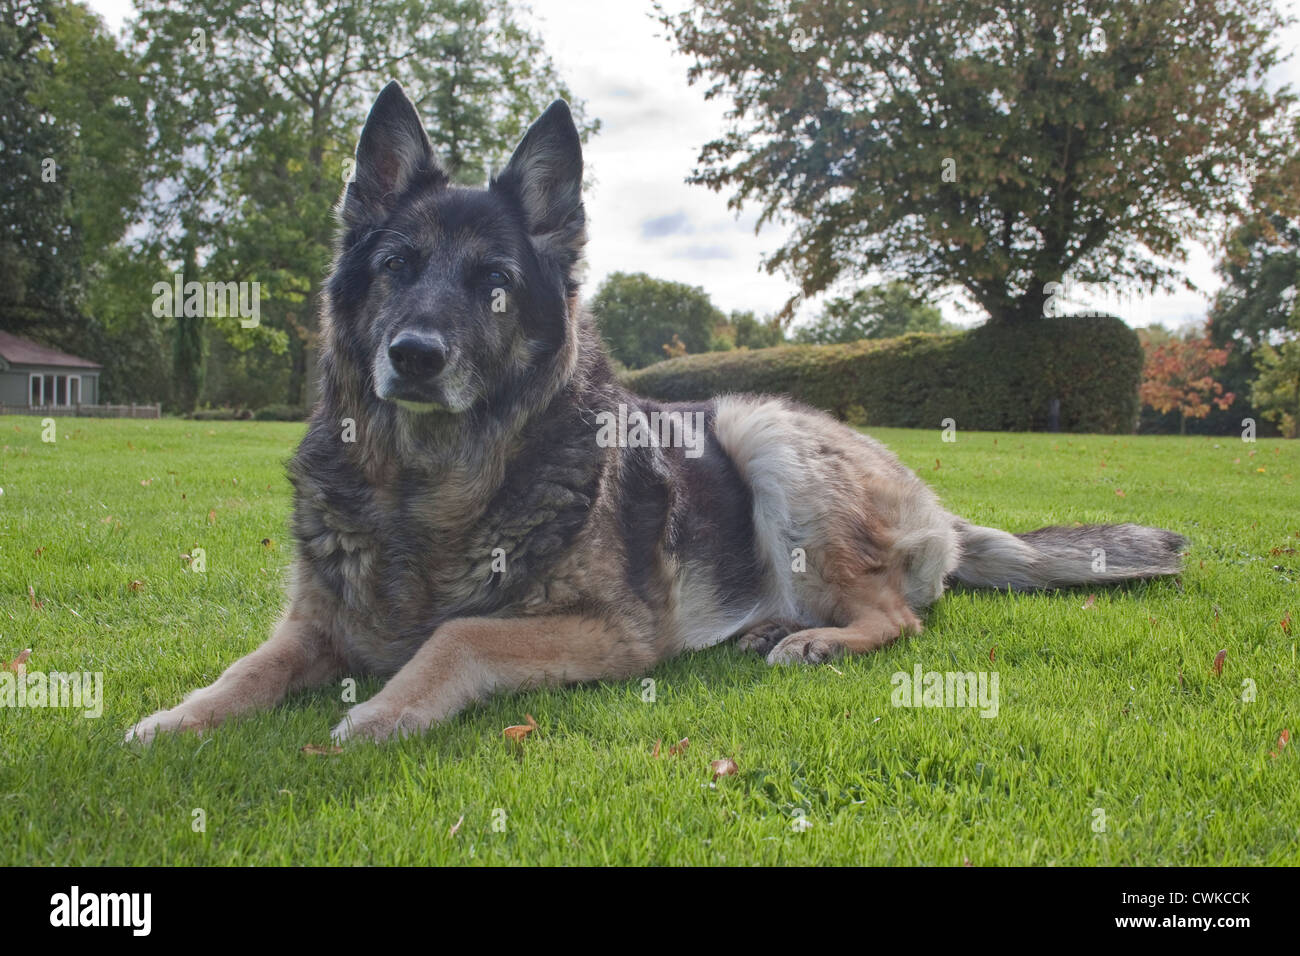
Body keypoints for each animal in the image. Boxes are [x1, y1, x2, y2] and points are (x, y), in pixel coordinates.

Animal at [126, 82, 1185, 749]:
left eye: (496, 286)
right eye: (395, 267)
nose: (414, 356)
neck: (428, 486)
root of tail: (939, 510)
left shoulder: (612, 633)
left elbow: (455, 636)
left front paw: (386, 709)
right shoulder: (313, 626)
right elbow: (245, 670)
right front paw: (177, 719)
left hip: (765, 433)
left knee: (898, 617)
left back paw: (813, 639)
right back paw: (772, 627)